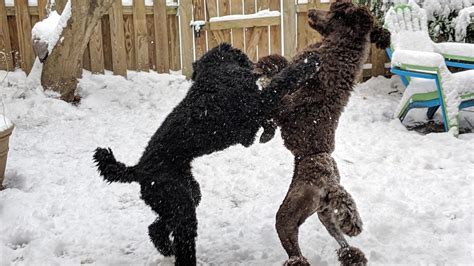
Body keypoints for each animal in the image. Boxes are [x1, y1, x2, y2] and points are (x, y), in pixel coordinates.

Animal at [93, 42, 318, 264]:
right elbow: (281, 82)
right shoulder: (253, 109)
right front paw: (309, 63)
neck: (217, 76)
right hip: (179, 204)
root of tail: (138, 169)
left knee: (156, 227)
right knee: (181, 238)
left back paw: (165, 247)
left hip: (186, 194)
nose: (255, 63)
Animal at [272, 2, 390, 266]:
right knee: (343, 241)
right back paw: (351, 254)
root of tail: (332, 185)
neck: (338, 54)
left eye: (338, 14)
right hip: (325, 214)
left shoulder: (289, 102)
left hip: (289, 214)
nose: (312, 12)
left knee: (296, 251)